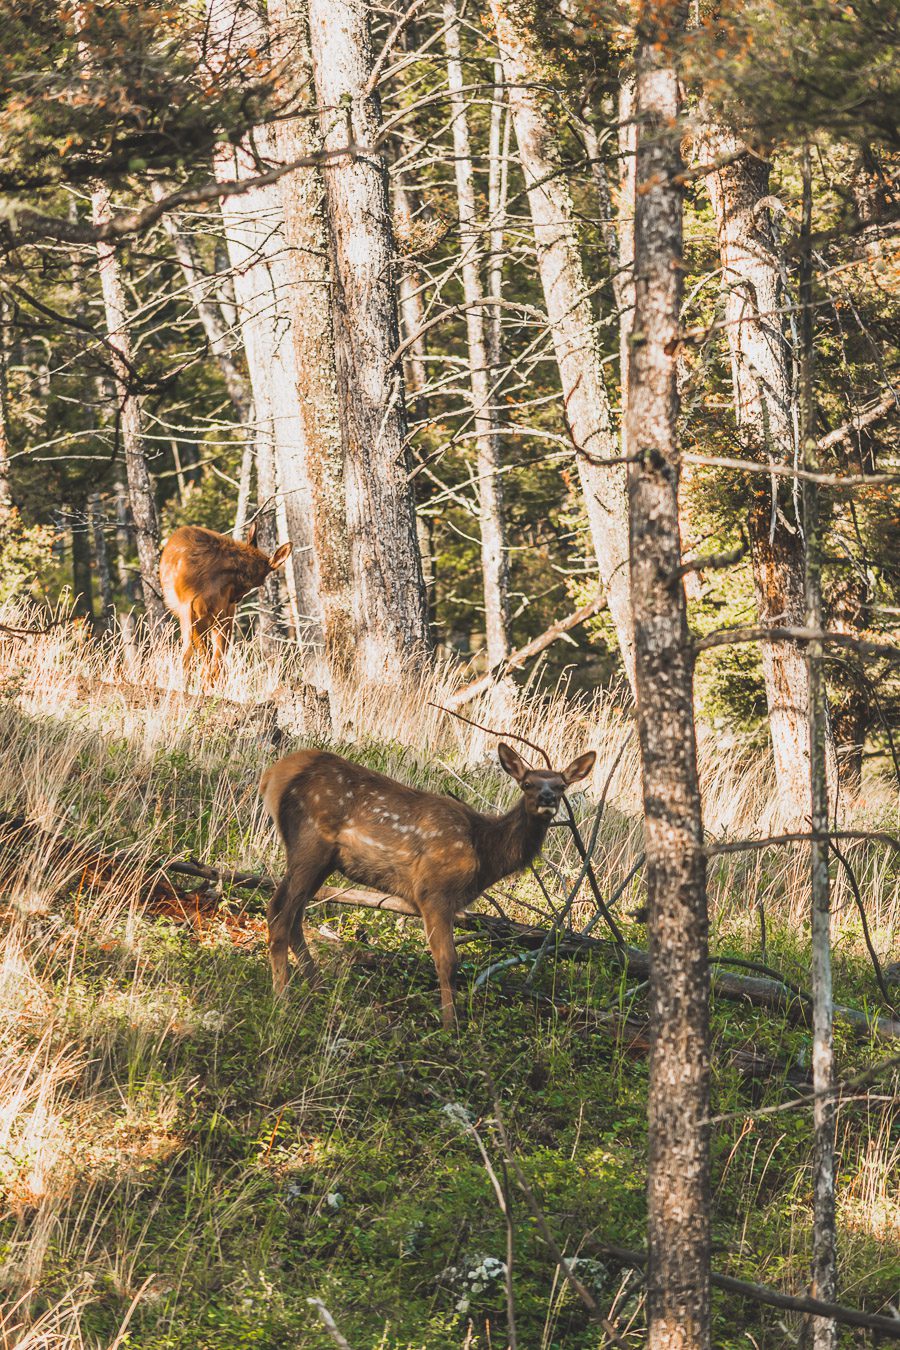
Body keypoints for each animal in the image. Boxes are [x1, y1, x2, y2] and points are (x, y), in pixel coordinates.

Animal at [260, 745, 599, 1026]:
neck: (484, 852)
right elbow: (447, 962)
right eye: (527, 783)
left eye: (561, 785)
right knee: (278, 910)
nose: (546, 799)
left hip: (325, 859)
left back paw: (320, 991)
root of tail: (274, 774)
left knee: (294, 916)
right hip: (310, 841)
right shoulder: (435, 890)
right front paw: (450, 1025)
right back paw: (282, 1001)